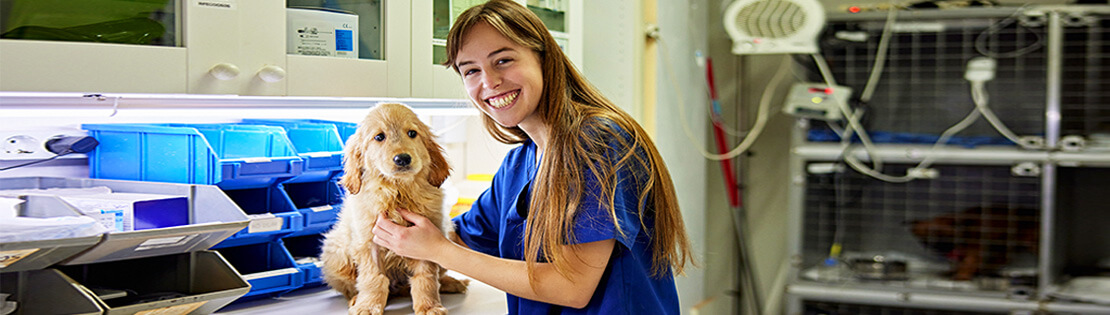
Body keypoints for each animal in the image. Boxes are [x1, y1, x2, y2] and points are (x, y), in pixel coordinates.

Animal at [319, 103, 466, 315]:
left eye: (412, 133)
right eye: (379, 137)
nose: (402, 159)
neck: (398, 192)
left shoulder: (427, 241)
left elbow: (426, 278)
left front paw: (429, 306)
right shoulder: (368, 242)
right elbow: (373, 279)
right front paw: (368, 305)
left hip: (448, 235)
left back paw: (451, 282)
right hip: (336, 255)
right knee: (350, 287)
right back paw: (356, 299)